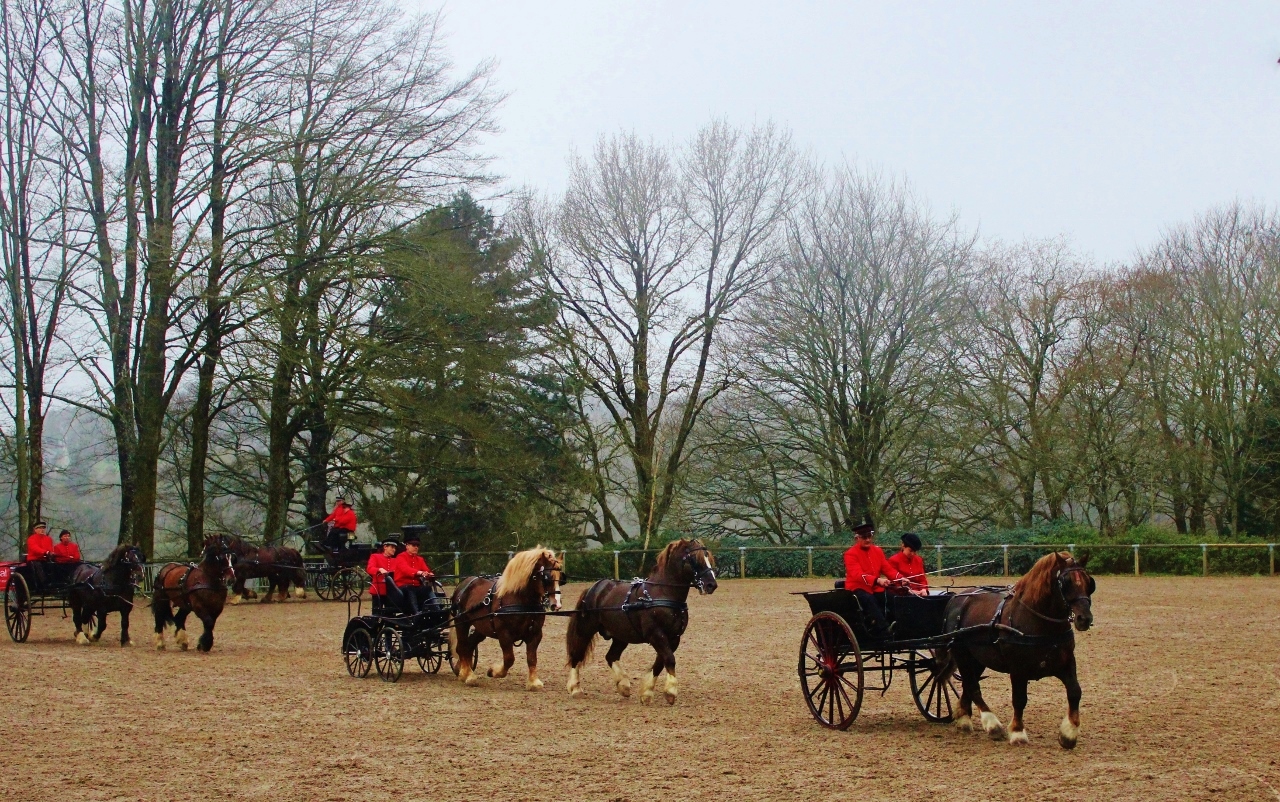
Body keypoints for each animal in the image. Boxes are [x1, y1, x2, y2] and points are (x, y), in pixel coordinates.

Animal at [450, 550, 565, 695]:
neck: (521, 600)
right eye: (547, 578)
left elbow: (532, 658)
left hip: (481, 628)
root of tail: (463, 584)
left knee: (469, 645)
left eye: (561, 578)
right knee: (462, 647)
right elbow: (509, 659)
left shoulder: (535, 634)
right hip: (461, 622)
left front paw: (533, 682)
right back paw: (468, 675)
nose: (557, 604)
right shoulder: (504, 634)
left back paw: (460, 670)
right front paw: (493, 672)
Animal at [570, 542, 721, 706]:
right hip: (586, 629)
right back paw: (575, 689)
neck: (662, 594)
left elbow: (661, 662)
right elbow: (669, 659)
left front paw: (647, 693)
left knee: (611, 656)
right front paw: (670, 692)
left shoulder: (674, 637)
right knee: (577, 654)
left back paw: (623, 686)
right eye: (694, 558)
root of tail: (594, 588)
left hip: (621, 636)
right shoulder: (656, 635)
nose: (711, 585)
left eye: (708, 557)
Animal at [936, 552, 1095, 746]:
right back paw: (992, 725)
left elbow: (1075, 692)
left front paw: (1069, 733)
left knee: (968, 683)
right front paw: (1018, 732)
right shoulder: (1018, 669)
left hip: (977, 659)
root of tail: (957, 598)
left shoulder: (1065, 663)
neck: (1040, 623)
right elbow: (1019, 699)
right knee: (973, 686)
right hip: (963, 654)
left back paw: (964, 719)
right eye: (1066, 582)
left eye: (1089, 582)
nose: (1084, 618)